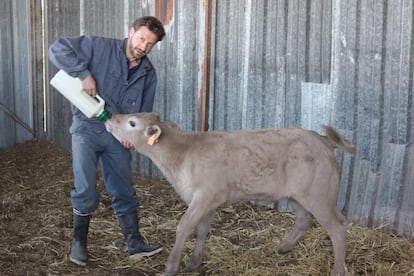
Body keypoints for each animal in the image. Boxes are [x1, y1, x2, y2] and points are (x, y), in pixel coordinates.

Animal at [105, 112, 354, 276]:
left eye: (132, 122)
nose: (109, 118)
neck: (182, 154)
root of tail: (322, 139)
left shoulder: (204, 196)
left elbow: (184, 227)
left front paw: (171, 266)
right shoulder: (208, 202)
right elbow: (202, 230)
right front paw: (194, 262)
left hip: (319, 195)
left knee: (338, 226)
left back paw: (338, 269)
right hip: (298, 195)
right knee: (303, 219)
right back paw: (284, 247)